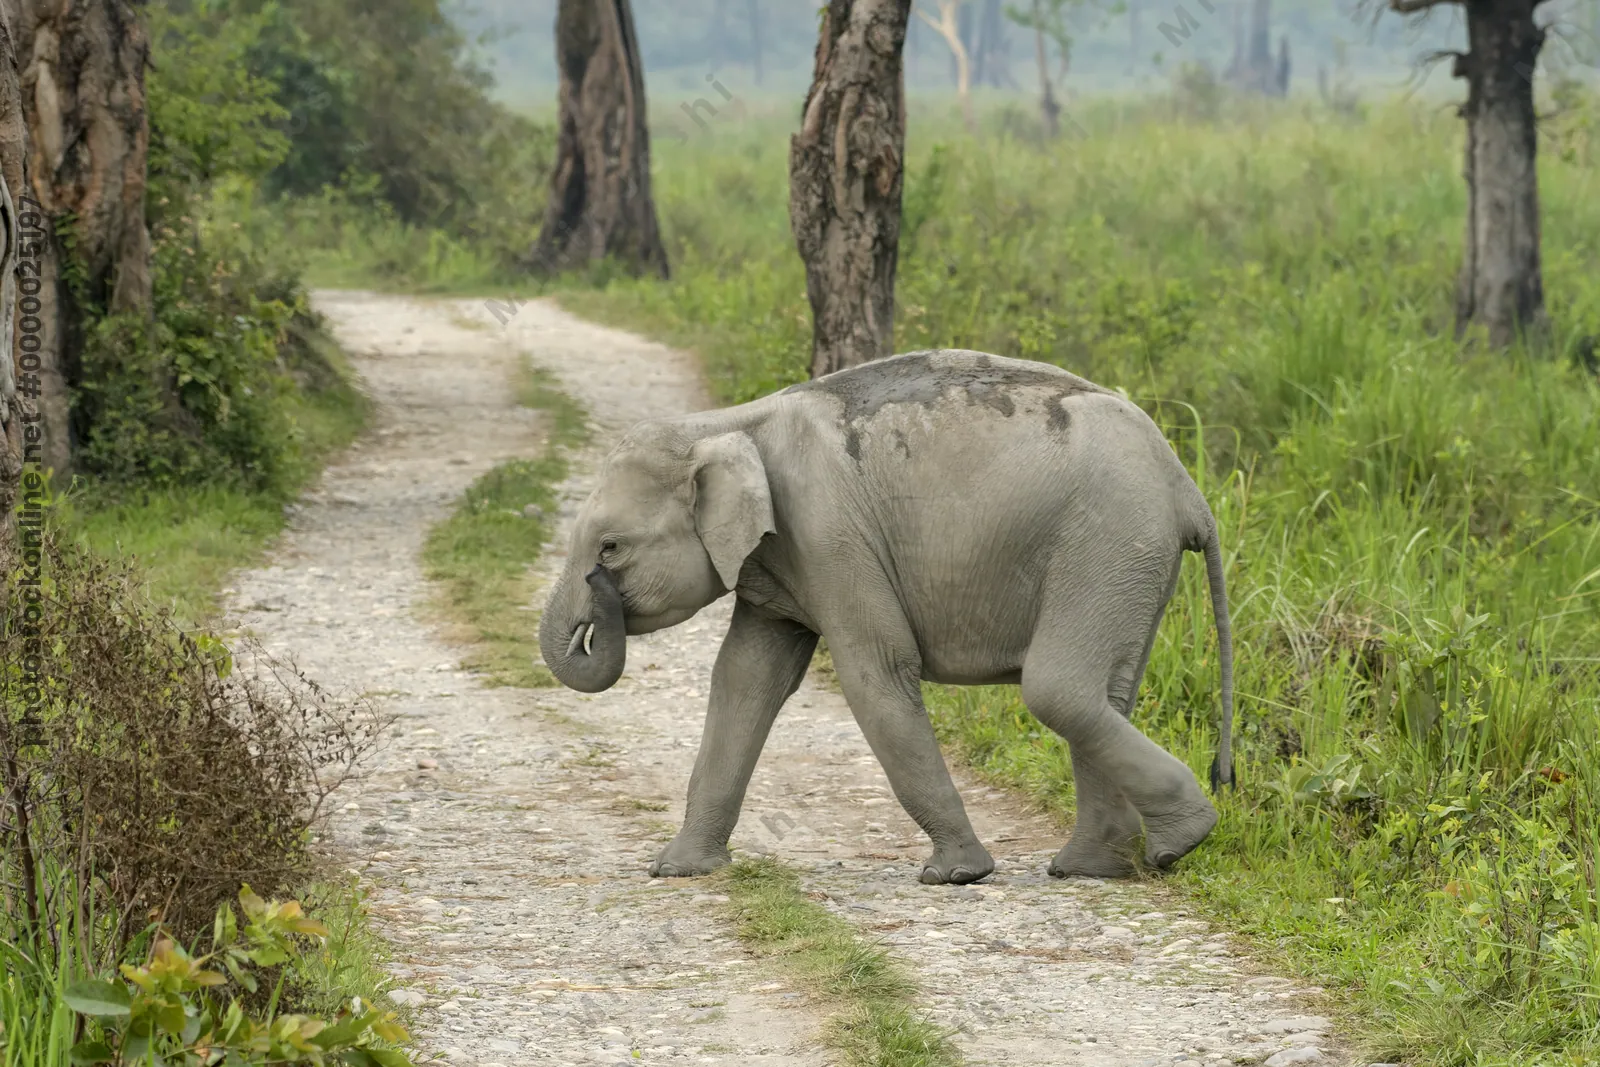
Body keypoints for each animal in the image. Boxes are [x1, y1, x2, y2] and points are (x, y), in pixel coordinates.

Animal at [538, 349, 1235, 884]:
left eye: (609, 548)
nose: (596, 598)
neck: (725, 424)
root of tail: (1189, 490)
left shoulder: (828, 535)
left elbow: (875, 672)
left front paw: (956, 876)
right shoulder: (780, 557)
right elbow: (745, 677)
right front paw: (678, 871)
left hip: (1110, 542)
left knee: (1058, 687)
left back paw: (1179, 841)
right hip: (1127, 560)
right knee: (1104, 692)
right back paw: (1093, 868)